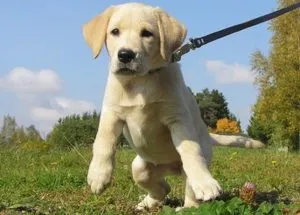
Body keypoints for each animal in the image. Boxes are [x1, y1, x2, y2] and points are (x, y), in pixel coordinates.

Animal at [82, 2, 262, 210]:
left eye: (147, 33)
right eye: (115, 31)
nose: (125, 55)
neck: (141, 80)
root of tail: (170, 168)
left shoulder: (177, 119)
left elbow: (190, 150)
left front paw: (205, 182)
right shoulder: (112, 113)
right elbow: (103, 141)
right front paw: (98, 175)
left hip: (191, 166)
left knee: (190, 190)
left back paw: (187, 205)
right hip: (140, 168)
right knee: (162, 188)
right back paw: (147, 203)